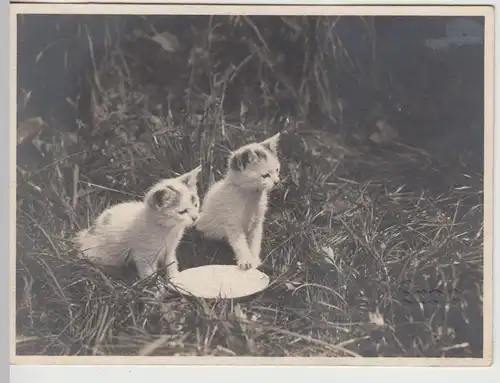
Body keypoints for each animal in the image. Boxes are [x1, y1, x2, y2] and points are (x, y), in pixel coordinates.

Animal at [73, 166, 201, 280]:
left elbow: (171, 264)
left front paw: (175, 280)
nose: (195, 217)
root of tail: (85, 236)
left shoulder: (170, 251)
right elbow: (150, 276)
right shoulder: (144, 257)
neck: (169, 230)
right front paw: (157, 290)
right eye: (182, 212)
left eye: (196, 205)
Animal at [195, 134, 282, 272]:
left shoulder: (257, 222)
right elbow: (240, 242)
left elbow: (255, 241)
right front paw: (246, 261)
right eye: (265, 175)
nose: (277, 182)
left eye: (277, 170)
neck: (251, 196)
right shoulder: (232, 222)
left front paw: (254, 259)